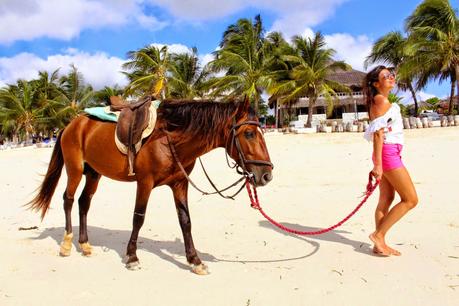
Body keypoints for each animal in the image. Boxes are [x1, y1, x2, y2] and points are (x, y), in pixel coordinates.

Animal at [27, 97, 274, 274]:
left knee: (83, 202)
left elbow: (185, 221)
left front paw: (194, 260)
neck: (170, 138)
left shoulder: (179, 183)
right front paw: (132, 256)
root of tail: (72, 124)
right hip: (75, 170)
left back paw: (85, 244)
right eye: (249, 133)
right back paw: (67, 244)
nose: (266, 175)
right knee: (68, 200)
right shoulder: (144, 182)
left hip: (94, 174)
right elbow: (139, 218)